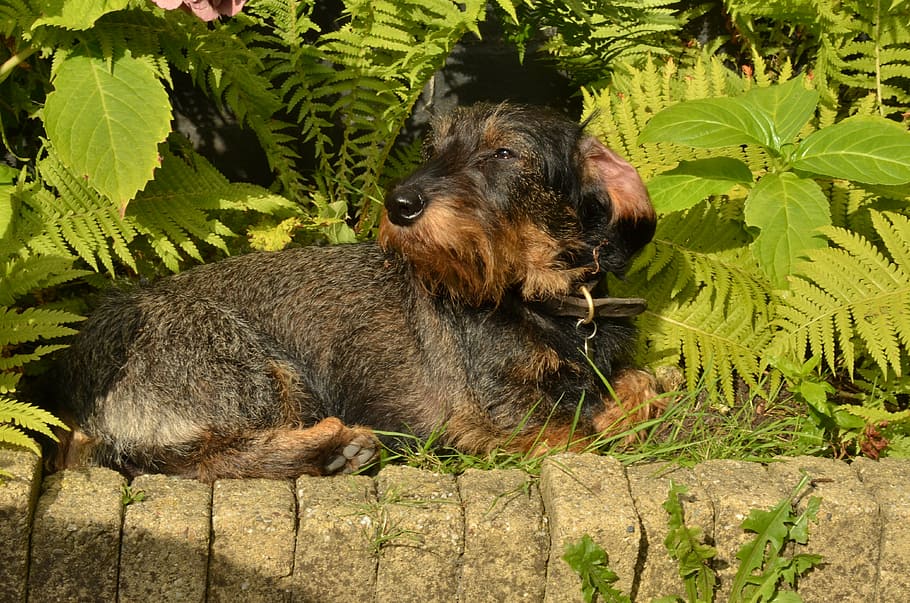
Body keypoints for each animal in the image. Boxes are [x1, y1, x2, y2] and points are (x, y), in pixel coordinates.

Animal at [48, 102, 664, 482]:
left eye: (504, 154)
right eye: (432, 150)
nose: (399, 204)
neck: (543, 303)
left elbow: (639, 383)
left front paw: (635, 399)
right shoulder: (491, 416)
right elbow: (579, 435)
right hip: (255, 369)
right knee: (204, 460)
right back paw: (332, 448)